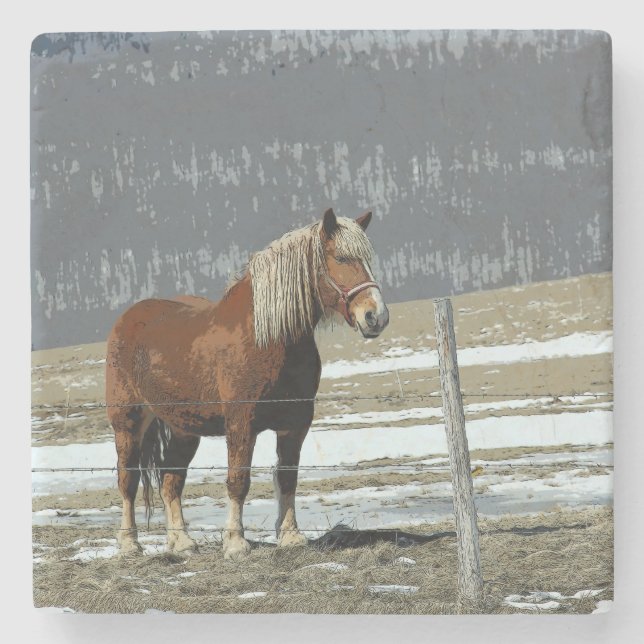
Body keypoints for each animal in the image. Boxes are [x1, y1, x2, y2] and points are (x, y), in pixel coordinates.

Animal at [106, 207, 389, 560]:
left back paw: (182, 543)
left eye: (368, 259)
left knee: (172, 480)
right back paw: (129, 544)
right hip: (128, 421)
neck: (268, 338)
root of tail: (128, 318)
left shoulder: (295, 424)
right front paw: (236, 543)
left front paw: (291, 537)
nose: (376, 316)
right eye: (340, 257)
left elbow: (288, 478)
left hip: (184, 428)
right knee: (127, 480)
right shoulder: (241, 424)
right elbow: (238, 480)